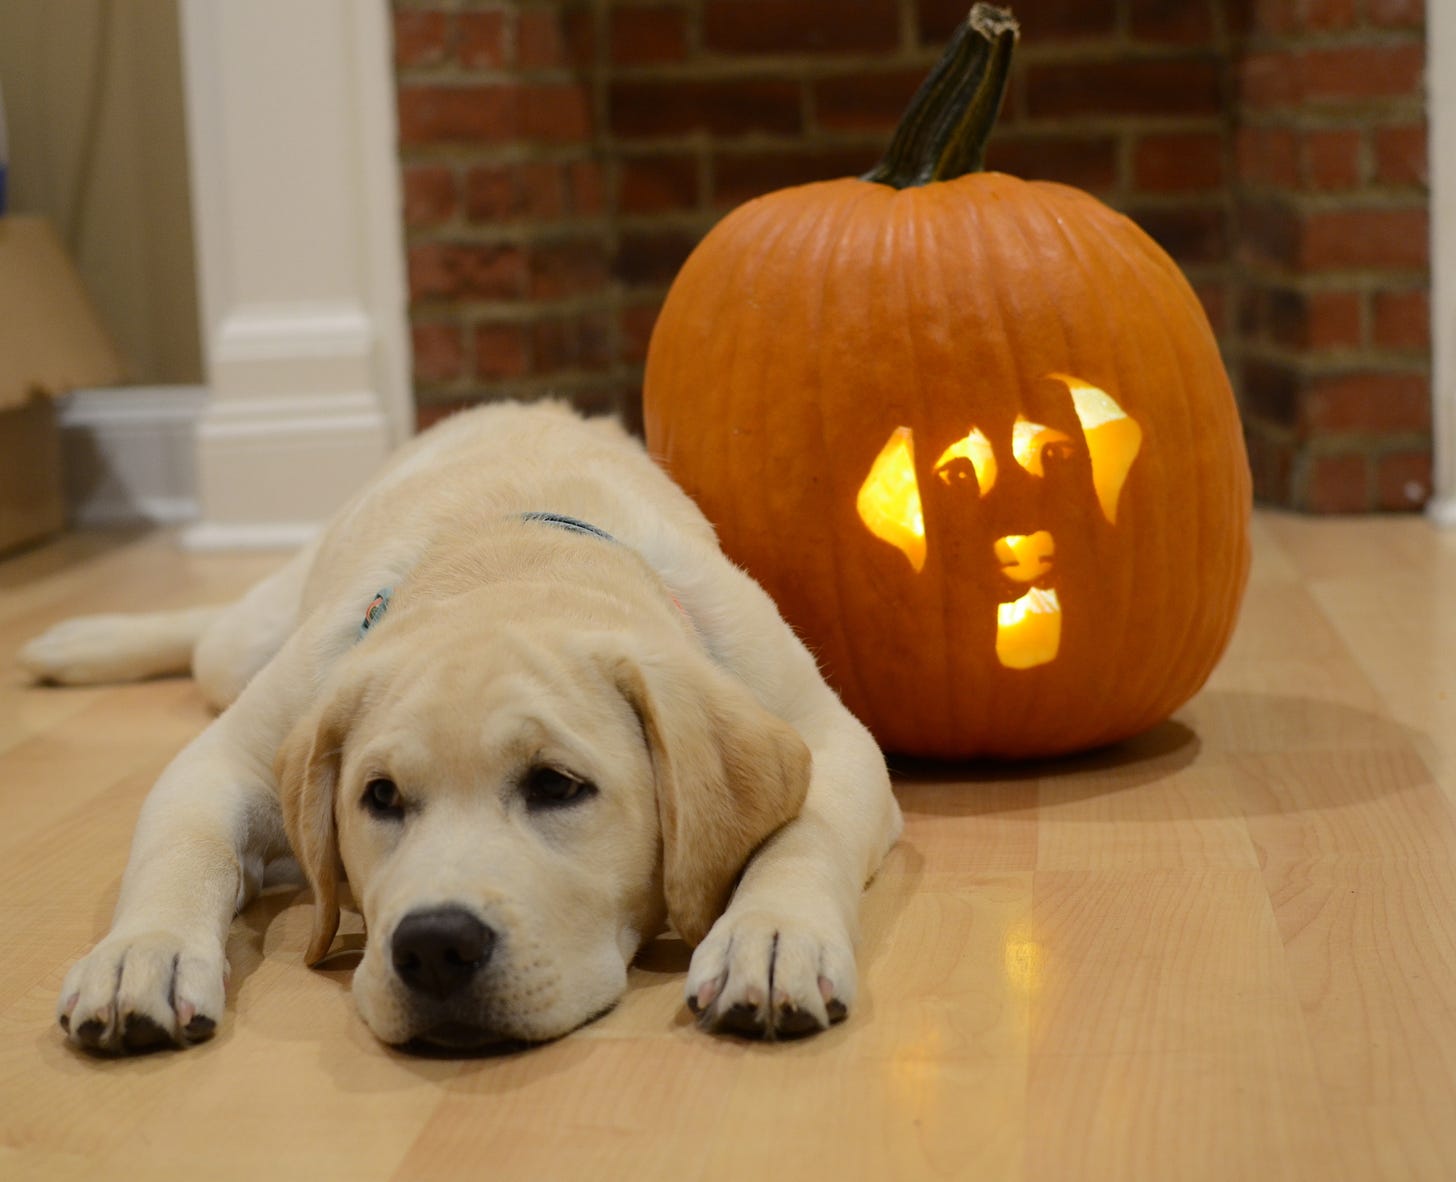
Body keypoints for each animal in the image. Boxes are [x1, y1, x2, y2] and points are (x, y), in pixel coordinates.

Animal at [25, 401, 896, 1059]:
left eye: (556, 786)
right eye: (379, 797)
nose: (434, 948)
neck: (506, 556)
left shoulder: (831, 737)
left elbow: (806, 831)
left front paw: (771, 937)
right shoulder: (224, 759)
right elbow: (183, 851)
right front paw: (142, 955)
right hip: (242, 649)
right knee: (212, 631)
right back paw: (71, 643)